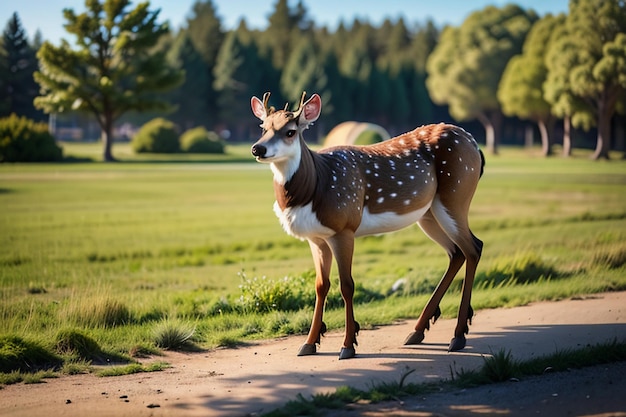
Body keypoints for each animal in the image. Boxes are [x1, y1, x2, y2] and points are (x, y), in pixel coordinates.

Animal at [249, 92, 482, 360]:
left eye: (290, 131)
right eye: (263, 127)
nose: (258, 148)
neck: (315, 185)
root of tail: (475, 145)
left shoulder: (345, 227)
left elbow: (347, 285)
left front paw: (348, 345)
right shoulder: (316, 238)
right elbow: (320, 286)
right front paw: (309, 343)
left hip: (457, 193)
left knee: (473, 248)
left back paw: (458, 336)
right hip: (429, 213)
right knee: (457, 252)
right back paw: (417, 332)